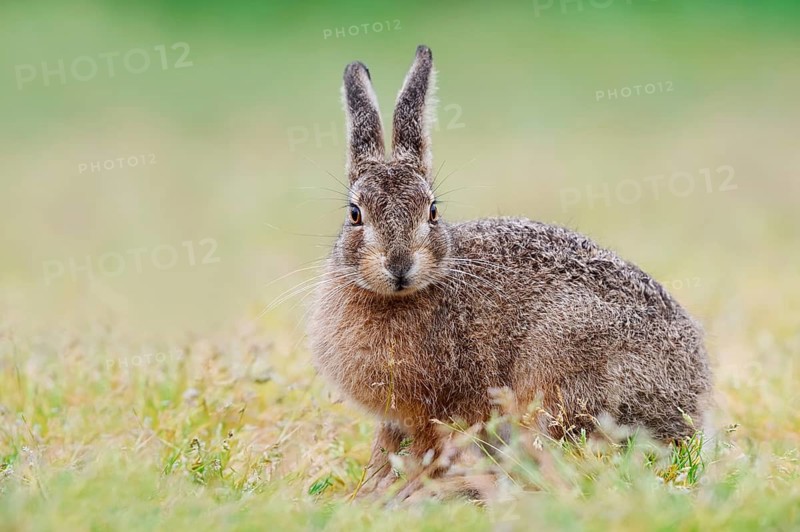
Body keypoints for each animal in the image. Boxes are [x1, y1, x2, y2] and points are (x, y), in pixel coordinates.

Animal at [308, 45, 712, 493]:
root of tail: (690, 400)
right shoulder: (397, 421)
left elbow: (427, 450)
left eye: (432, 211)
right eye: (355, 214)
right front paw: (371, 489)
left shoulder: (440, 411)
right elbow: (385, 451)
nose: (399, 265)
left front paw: (398, 491)